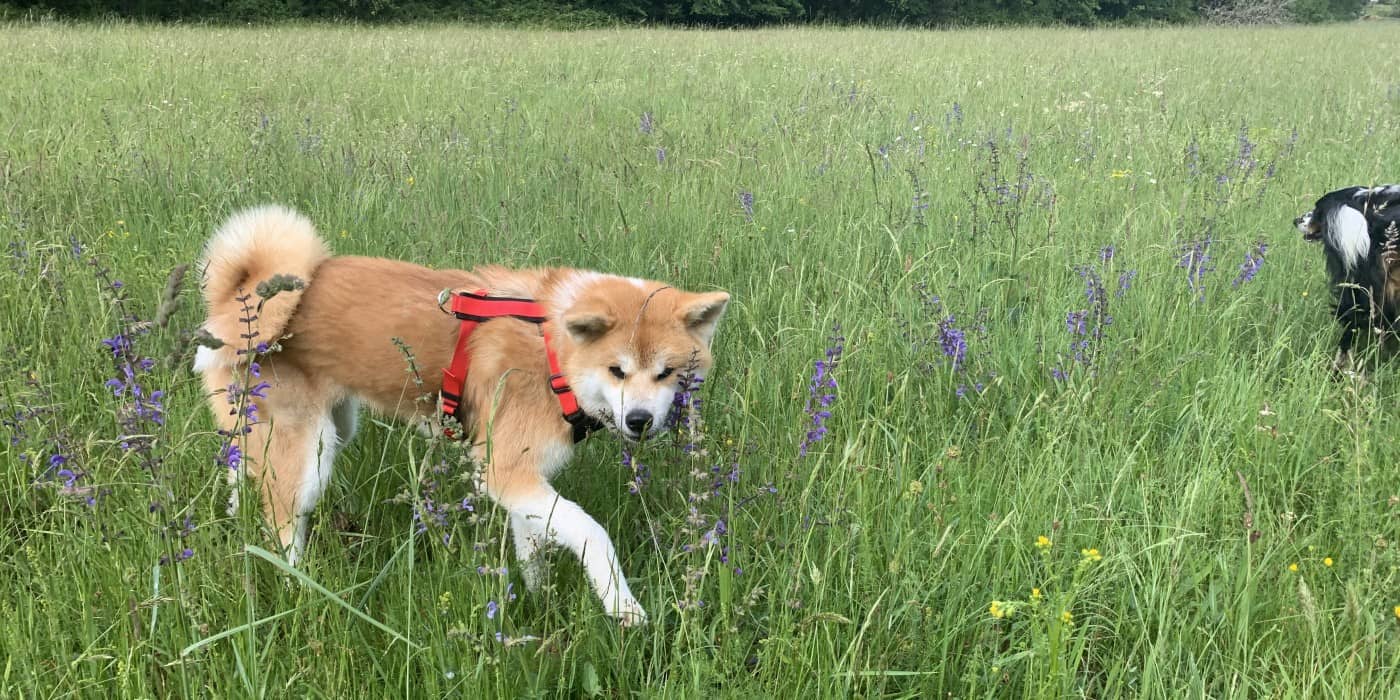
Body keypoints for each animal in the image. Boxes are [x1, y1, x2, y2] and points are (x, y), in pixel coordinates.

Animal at [194, 205, 733, 624]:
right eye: (617, 370)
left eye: (667, 373)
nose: (640, 421)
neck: (554, 353)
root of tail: (237, 303)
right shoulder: (504, 470)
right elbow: (592, 534)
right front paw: (622, 605)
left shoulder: (523, 476)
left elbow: (533, 550)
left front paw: (538, 607)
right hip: (310, 452)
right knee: (282, 526)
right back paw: (300, 590)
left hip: (313, 430)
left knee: (242, 485)